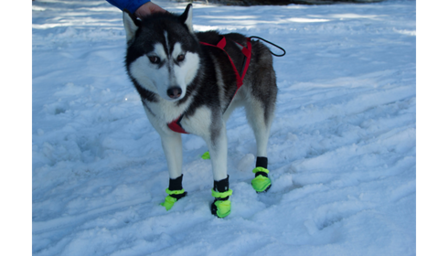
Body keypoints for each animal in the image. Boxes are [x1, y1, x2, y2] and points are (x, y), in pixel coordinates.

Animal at [122, 4, 276, 217]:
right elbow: (175, 173)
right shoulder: (169, 136)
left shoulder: (214, 129)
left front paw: (222, 204)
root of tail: (254, 42)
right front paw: (174, 198)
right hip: (223, 108)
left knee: (261, 139)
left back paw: (261, 176)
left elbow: (220, 176)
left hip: (258, 110)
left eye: (180, 57)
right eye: (153, 58)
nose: (175, 91)